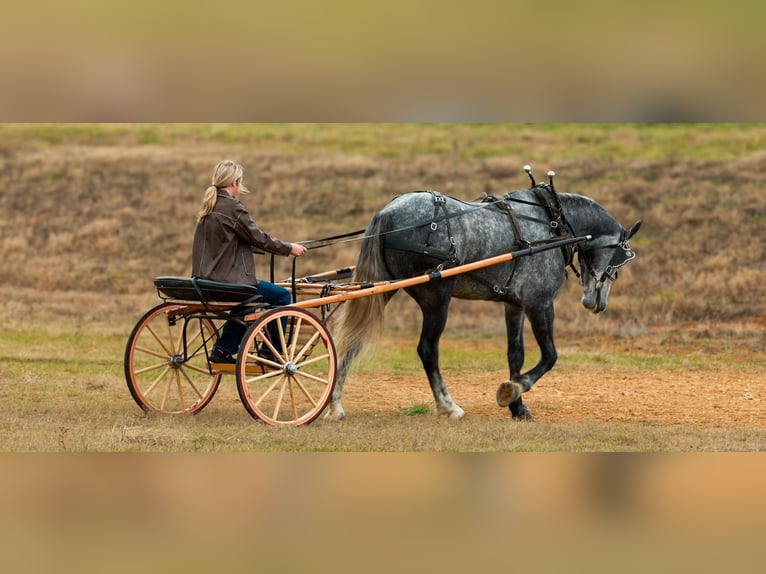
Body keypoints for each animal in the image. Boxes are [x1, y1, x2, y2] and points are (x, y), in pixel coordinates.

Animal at [327, 170, 641, 421]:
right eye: (620, 261)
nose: (596, 303)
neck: (551, 223)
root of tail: (387, 213)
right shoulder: (540, 304)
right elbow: (550, 355)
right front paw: (514, 389)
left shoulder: (514, 305)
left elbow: (515, 355)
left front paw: (517, 408)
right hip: (436, 297)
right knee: (427, 349)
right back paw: (448, 406)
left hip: (381, 289)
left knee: (354, 342)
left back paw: (335, 405)